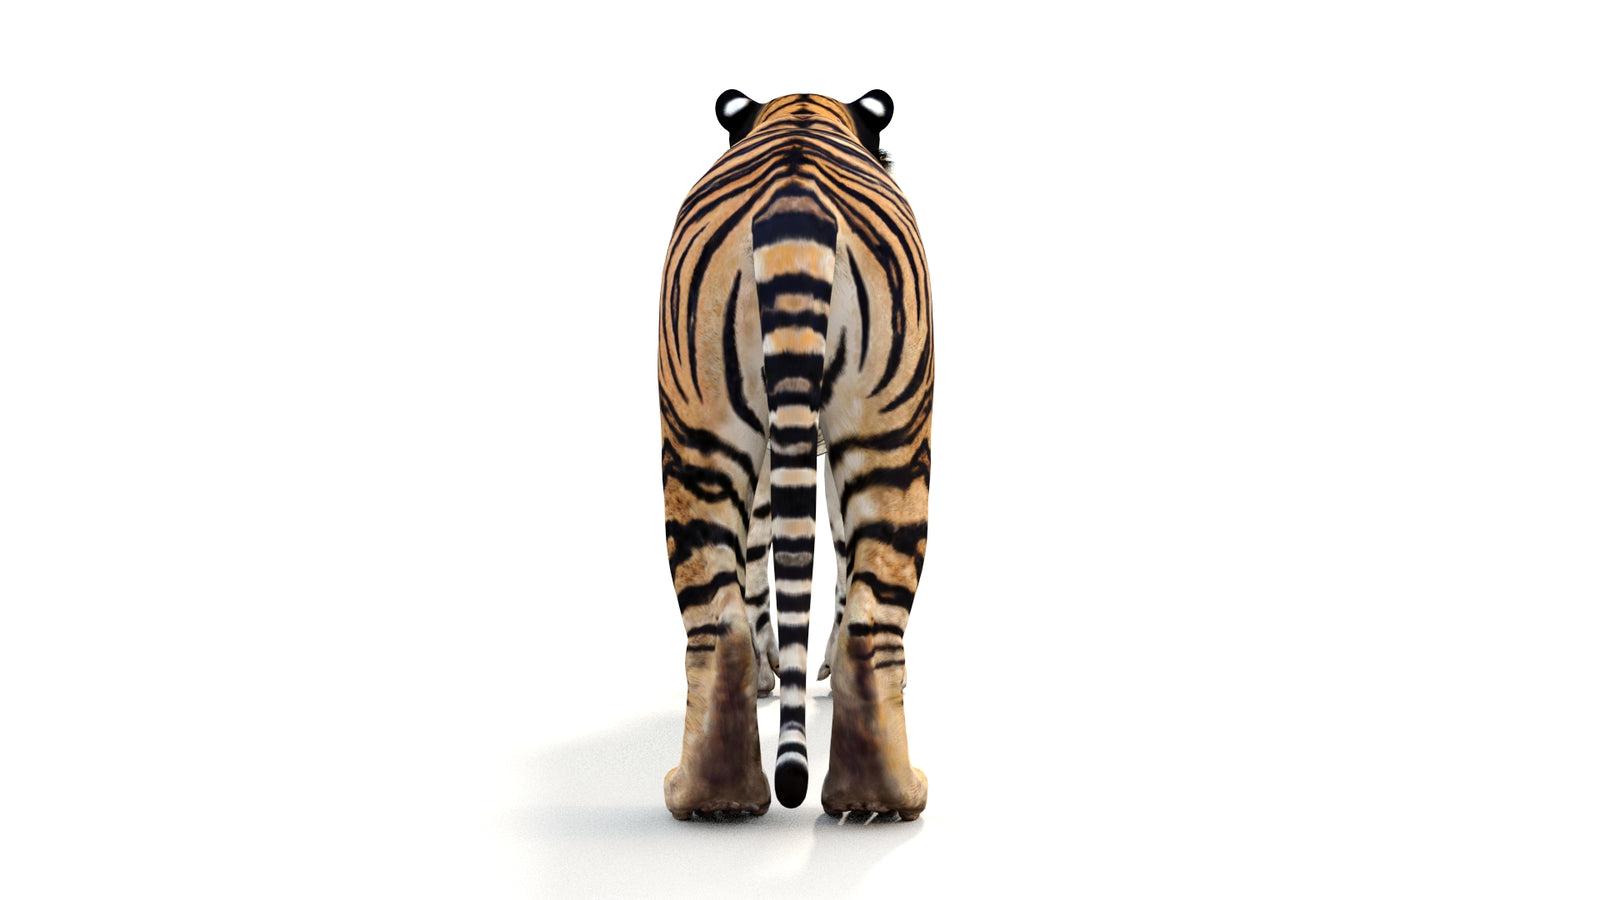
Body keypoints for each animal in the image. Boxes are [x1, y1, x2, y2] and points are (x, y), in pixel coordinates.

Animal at [659, 89, 932, 821]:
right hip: (884, 427)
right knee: (867, 615)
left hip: (705, 430)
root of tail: (797, 192)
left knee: (720, 620)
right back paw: (882, 798)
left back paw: (717, 799)